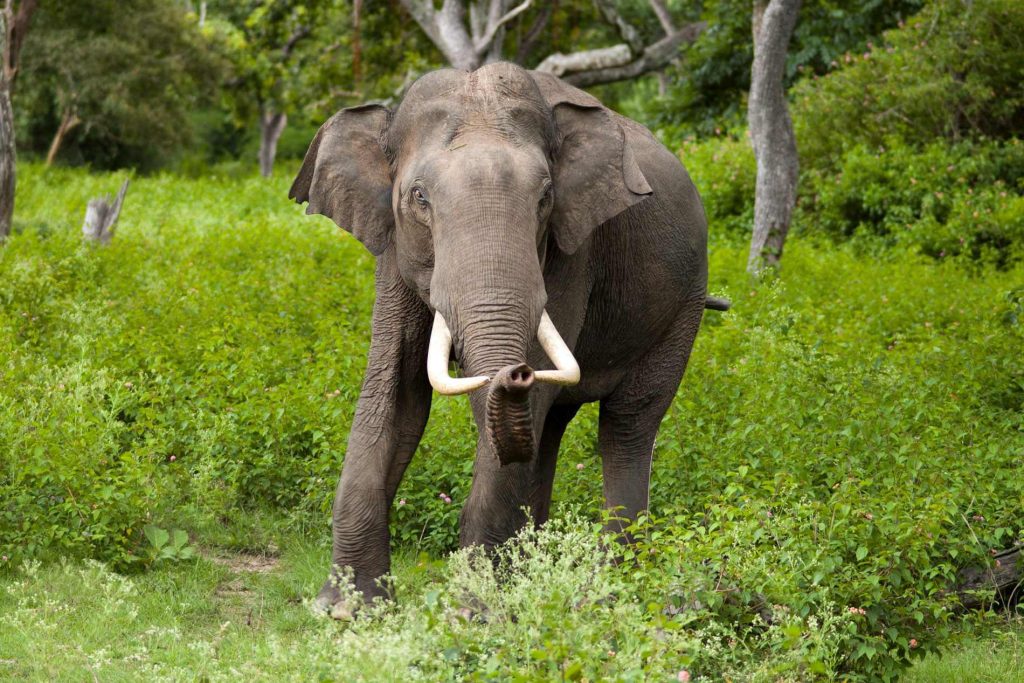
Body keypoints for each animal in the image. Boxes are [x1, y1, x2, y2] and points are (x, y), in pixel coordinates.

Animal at [288, 61, 729, 614]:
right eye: (419, 198)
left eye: (544, 197)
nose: (515, 371)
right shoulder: (392, 248)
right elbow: (395, 395)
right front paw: (347, 609)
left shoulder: (571, 251)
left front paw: (472, 611)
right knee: (550, 428)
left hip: (684, 304)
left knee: (627, 423)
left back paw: (609, 589)